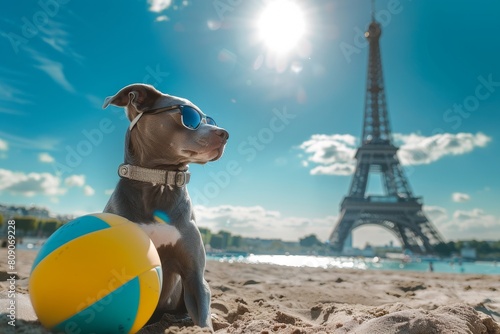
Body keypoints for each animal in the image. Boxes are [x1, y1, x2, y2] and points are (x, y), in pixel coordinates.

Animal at [102, 83, 229, 328]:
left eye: (209, 120)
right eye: (189, 117)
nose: (225, 134)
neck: (159, 182)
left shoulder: (194, 276)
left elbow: (203, 317)